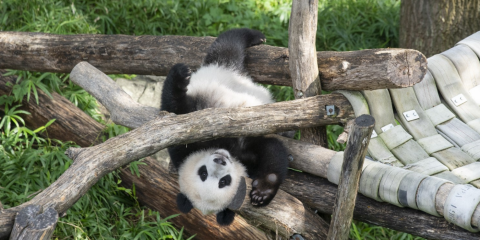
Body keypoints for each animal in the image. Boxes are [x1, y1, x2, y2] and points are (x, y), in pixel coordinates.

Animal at [161, 29, 288, 226]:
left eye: (224, 181)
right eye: (204, 173)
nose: (220, 159)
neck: (225, 147)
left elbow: (273, 151)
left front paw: (262, 192)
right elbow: (271, 147)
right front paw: (262, 193)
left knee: (227, 45)